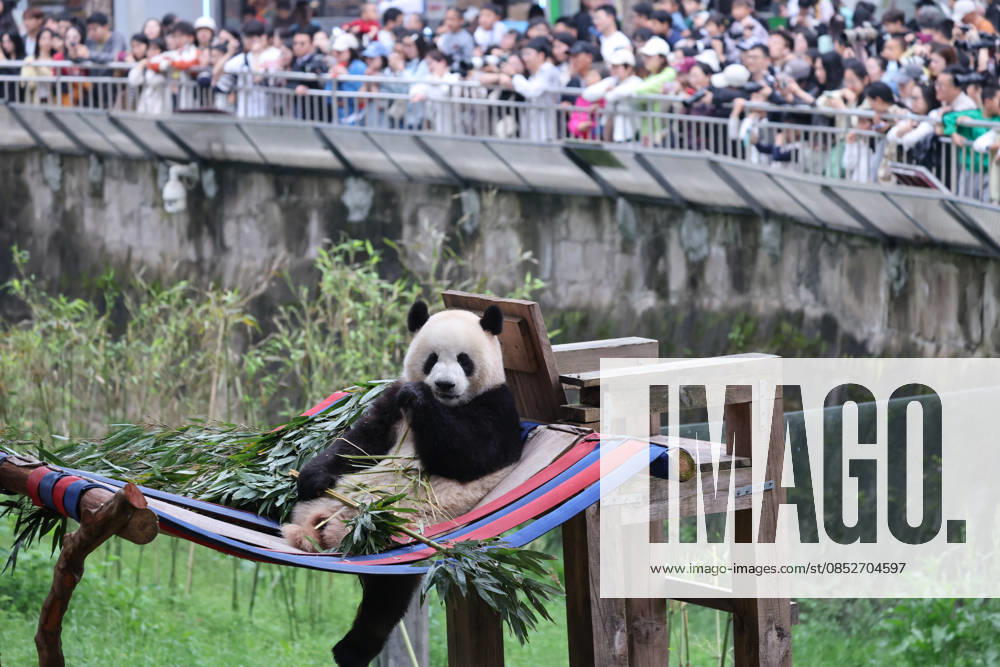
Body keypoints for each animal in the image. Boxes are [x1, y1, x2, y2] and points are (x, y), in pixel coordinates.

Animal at [282, 300, 523, 667]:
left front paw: (420, 396)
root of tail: (324, 528)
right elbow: (360, 442)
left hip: (393, 535)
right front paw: (311, 476)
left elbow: (471, 454)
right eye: (432, 358)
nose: (444, 385)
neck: (448, 405)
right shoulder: (390, 404)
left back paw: (351, 651)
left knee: (386, 596)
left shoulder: (500, 408)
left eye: (464, 360)